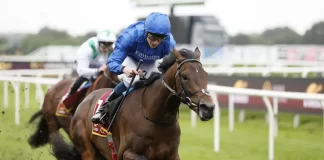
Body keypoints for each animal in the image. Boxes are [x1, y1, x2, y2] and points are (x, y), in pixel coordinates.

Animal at [50, 47, 214, 159]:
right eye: (185, 77)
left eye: (206, 75)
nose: (208, 107)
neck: (156, 117)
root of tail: (85, 101)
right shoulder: (125, 152)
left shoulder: (171, 154)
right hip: (86, 148)